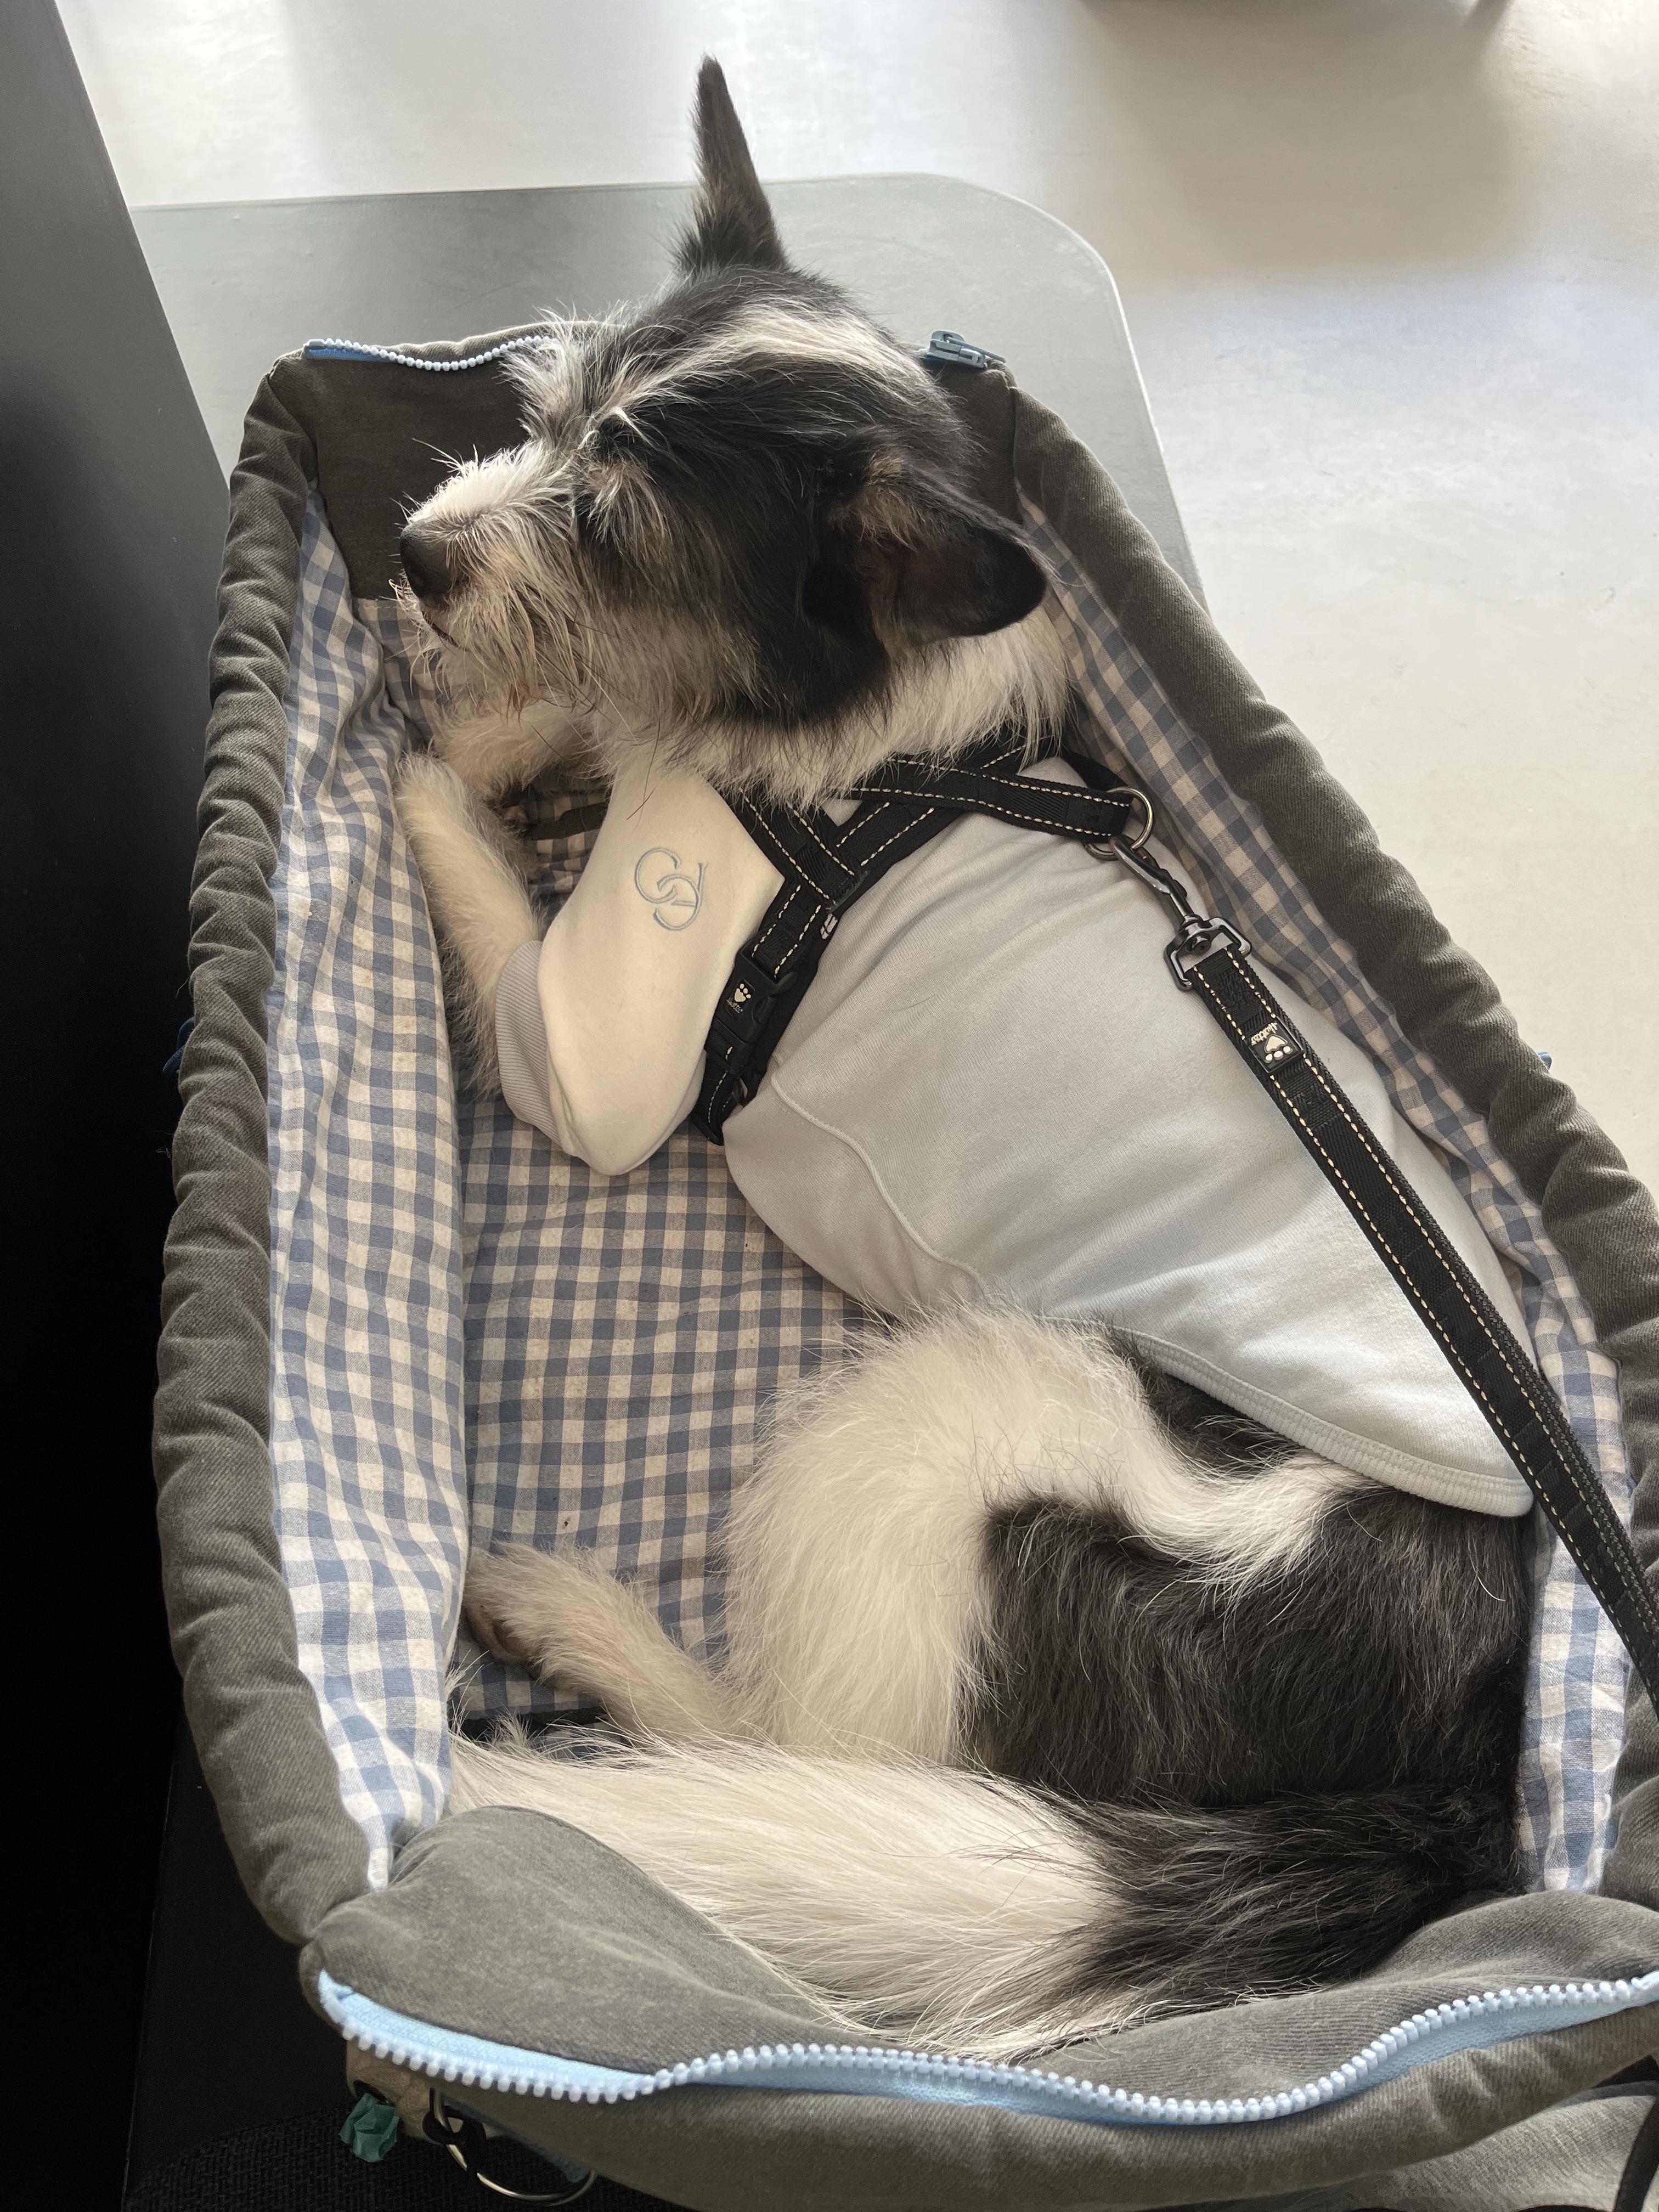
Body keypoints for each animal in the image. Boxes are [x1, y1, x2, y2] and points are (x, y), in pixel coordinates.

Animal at [393, 61, 1528, 2062]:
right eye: (538, 420)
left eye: (618, 529)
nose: (413, 553)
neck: (892, 742)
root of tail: (1460, 1773)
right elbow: (591, 723)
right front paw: (524, 713)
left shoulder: (607, 1045)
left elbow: (494, 892)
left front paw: (441, 754)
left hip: (948, 1432)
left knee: (792, 1755)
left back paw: (577, 1630)